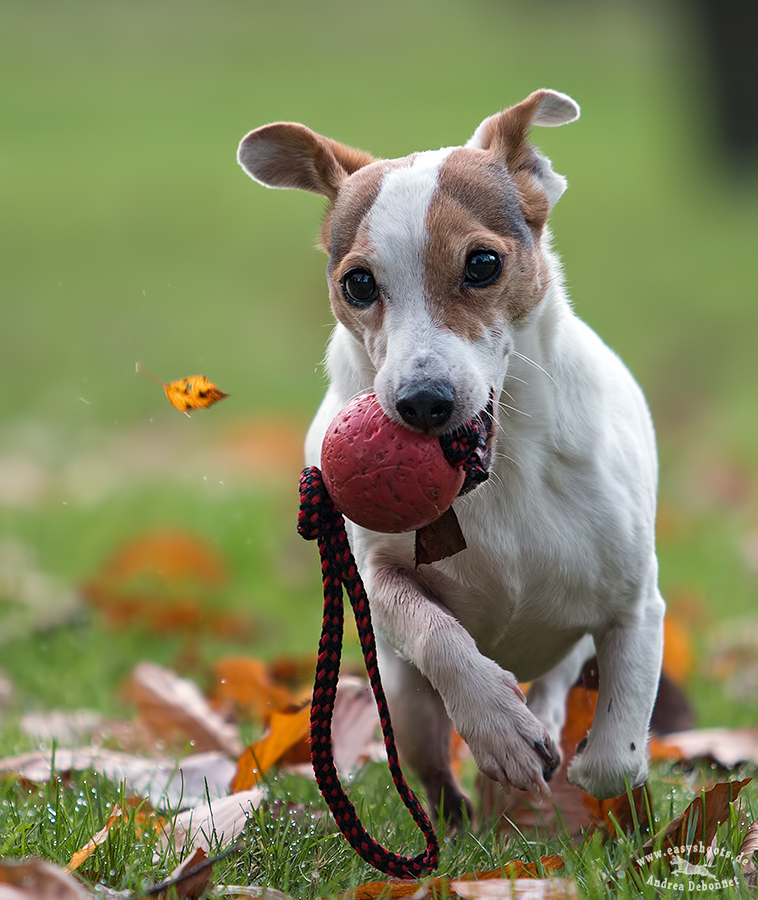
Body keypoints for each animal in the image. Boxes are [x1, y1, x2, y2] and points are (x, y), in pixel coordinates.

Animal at [238, 89, 664, 824]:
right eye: (357, 283)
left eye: (483, 264)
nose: (422, 401)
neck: (500, 476)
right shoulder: (376, 574)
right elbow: (432, 629)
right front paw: (498, 725)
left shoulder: (638, 604)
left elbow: (614, 759)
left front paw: (588, 760)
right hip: (405, 703)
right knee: (432, 763)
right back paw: (464, 817)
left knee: (555, 691)